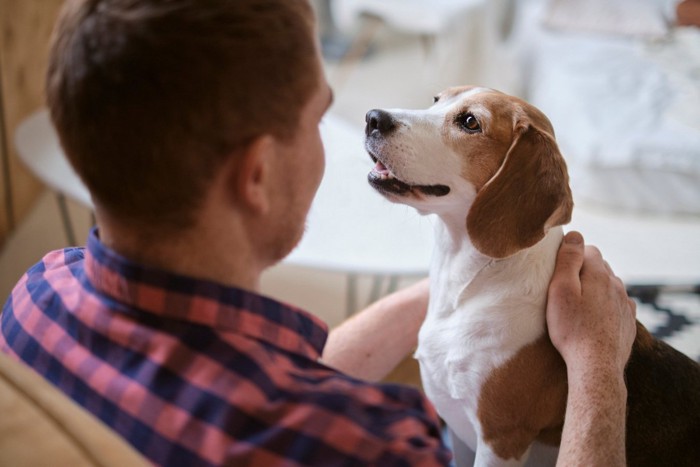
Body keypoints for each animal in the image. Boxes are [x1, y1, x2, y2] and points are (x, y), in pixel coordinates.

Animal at [366, 87, 700, 467]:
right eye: (437, 100)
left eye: (470, 122)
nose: (373, 118)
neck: (468, 287)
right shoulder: (461, 437)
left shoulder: (500, 440)